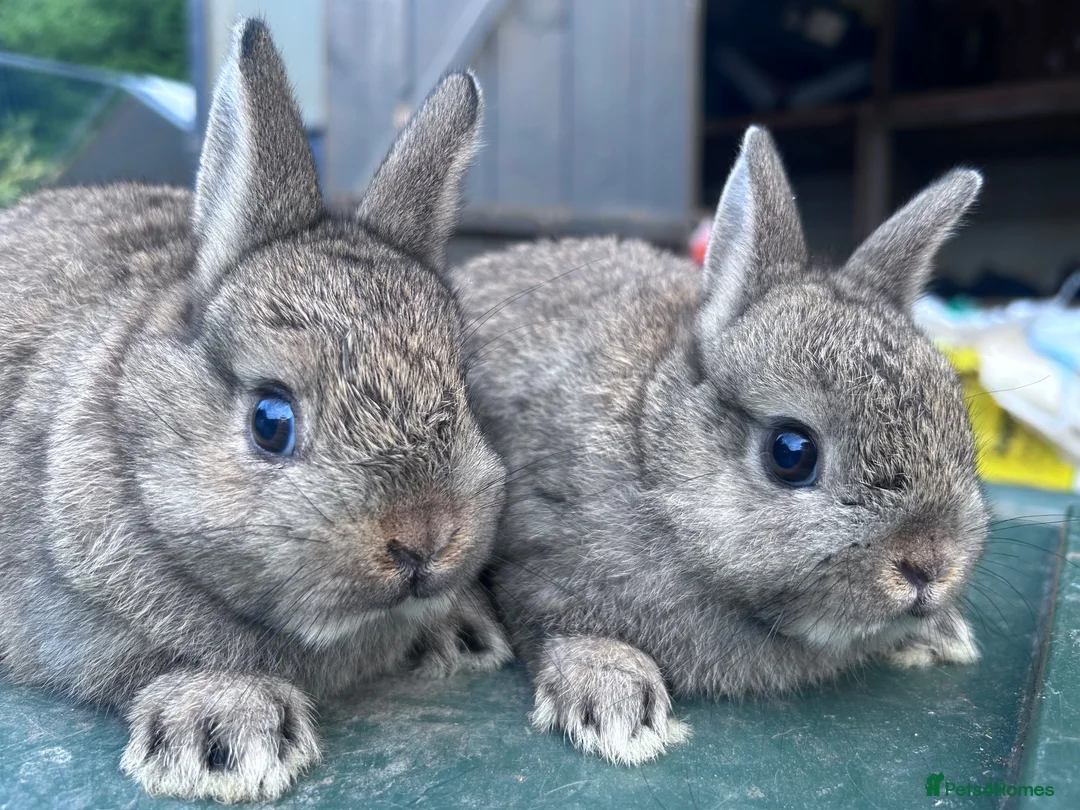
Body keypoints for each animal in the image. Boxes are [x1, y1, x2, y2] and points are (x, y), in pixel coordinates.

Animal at [454, 126, 987, 766]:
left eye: (957, 415)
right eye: (791, 453)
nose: (930, 564)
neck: (654, 458)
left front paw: (941, 633)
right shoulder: (537, 553)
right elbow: (558, 625)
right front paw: (615, 700)